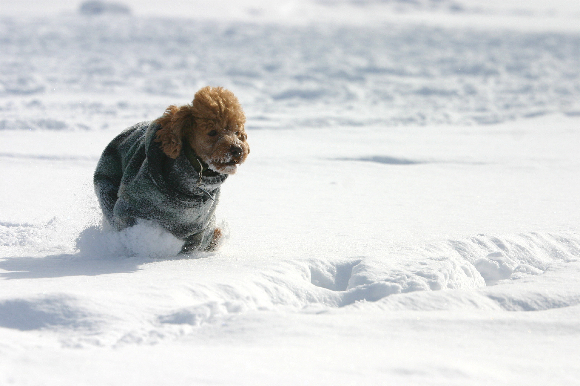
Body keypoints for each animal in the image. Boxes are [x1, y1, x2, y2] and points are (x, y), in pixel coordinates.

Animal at [93, 86, 249, 252]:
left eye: (237, 132)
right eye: (212, 132)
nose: (238, 150)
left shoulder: (198, 227)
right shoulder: (128, 208)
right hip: (106, 185)